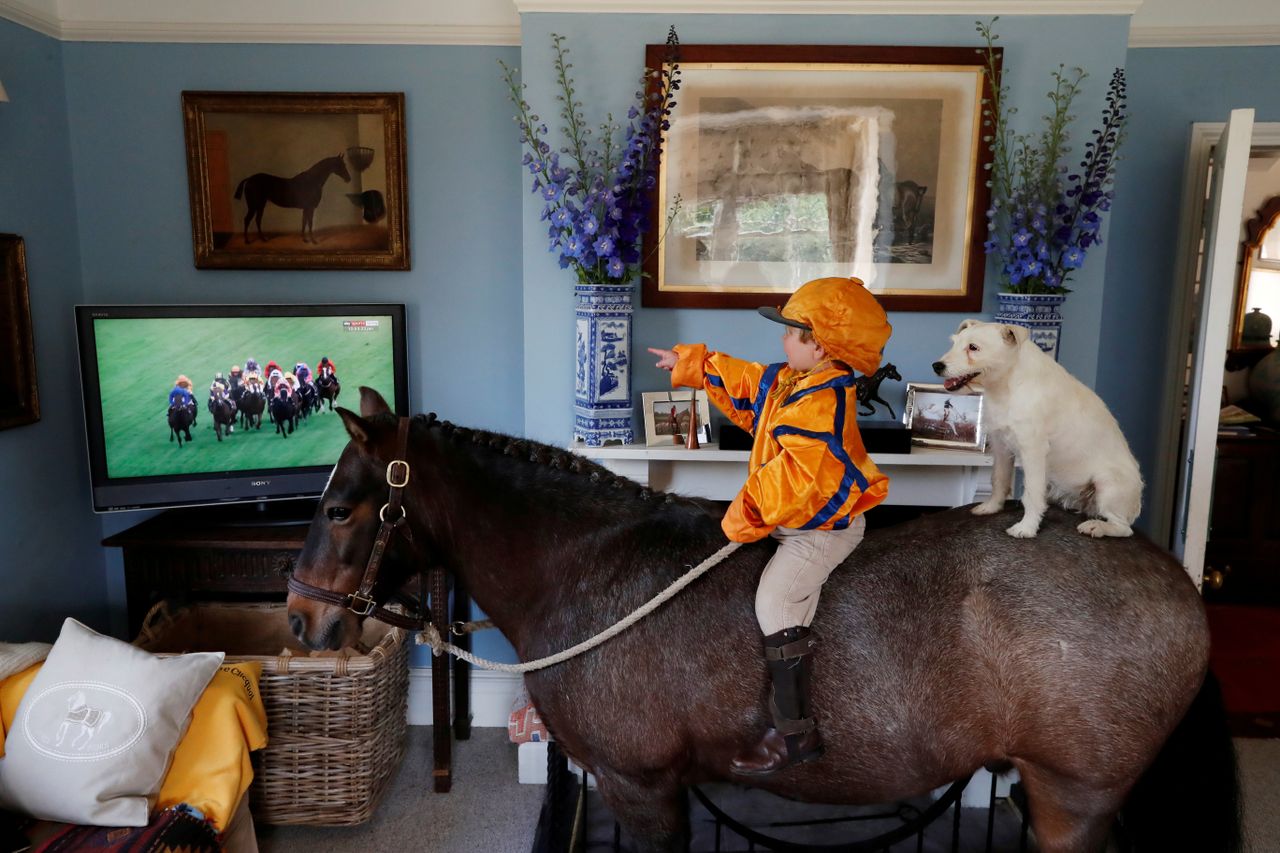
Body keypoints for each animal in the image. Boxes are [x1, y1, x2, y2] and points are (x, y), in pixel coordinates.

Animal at [288, 389, 1239, 850]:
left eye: (338, 506)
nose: (299, 616)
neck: (590, 564)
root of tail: (1167, 573)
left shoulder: (640, 787)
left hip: (1073, 797)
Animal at [931, 318, 1141, 537]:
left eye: (973, 347)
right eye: (954, 343)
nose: (936, 366)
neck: (1008, 385)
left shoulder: (1033, 451)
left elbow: (1031, 494)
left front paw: (1026, 528)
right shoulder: (1000, 446)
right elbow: (999, 479)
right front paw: (992, 507)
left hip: (1108, 484)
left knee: (1123, 528)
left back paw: (1096, 526)